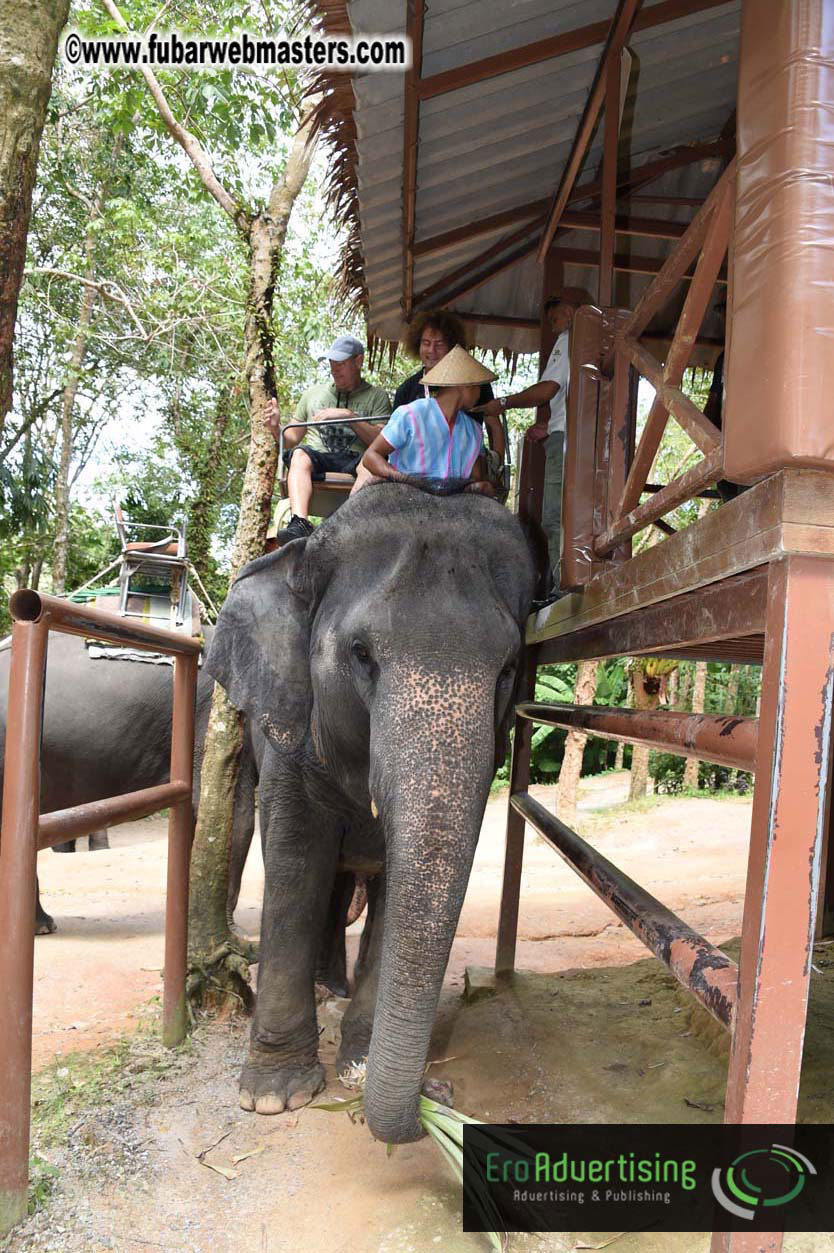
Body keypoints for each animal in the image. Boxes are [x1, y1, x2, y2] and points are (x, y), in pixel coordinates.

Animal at [205, 480, 535, 1144]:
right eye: (361, 653)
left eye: (509, 668)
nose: (437, 1097)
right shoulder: (288, 729)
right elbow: (295, 863)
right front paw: (276, 1097)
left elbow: (394, 882)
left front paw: (356, 1065)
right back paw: (322, 988)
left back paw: (334, 985)